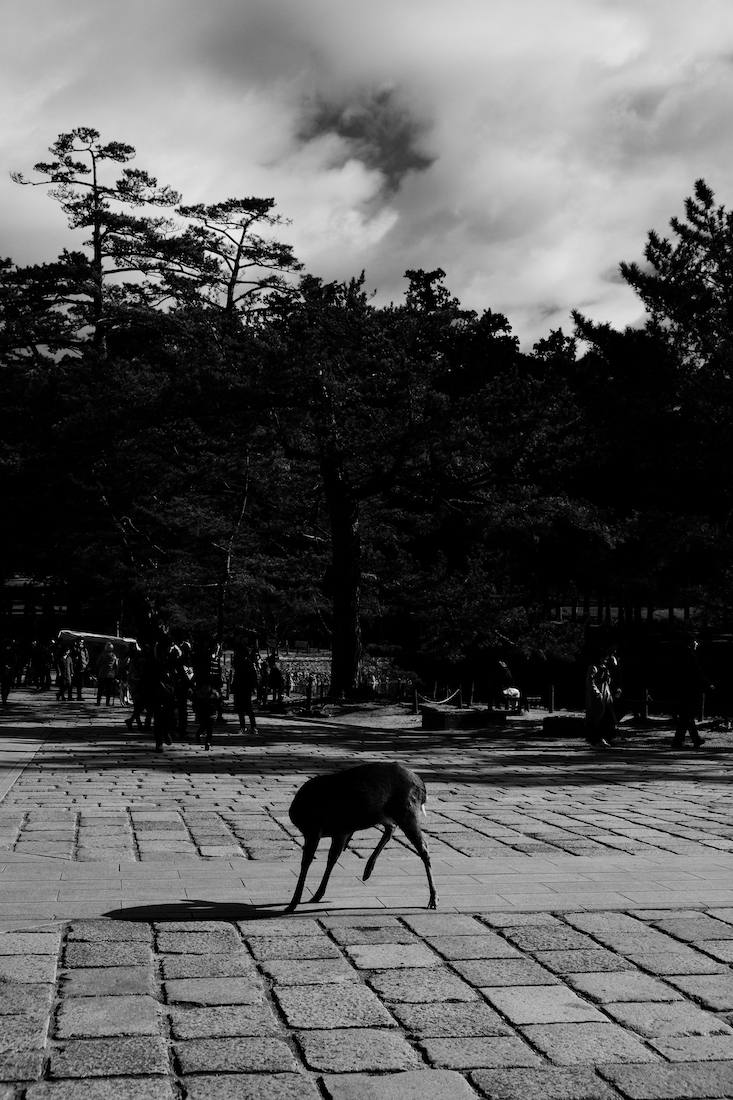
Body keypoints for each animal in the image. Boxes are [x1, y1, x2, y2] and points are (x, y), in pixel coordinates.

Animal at [284, 761, 438, 913]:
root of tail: (423, 787)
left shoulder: (313, 828)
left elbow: (306, 862)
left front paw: (293, 904)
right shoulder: (341, 831)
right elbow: (332, 858)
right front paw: (317, 895)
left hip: (406, 810)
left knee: (423, 847)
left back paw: (433, 899)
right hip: (382, 814)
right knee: (391, 828)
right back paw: (367, 871)